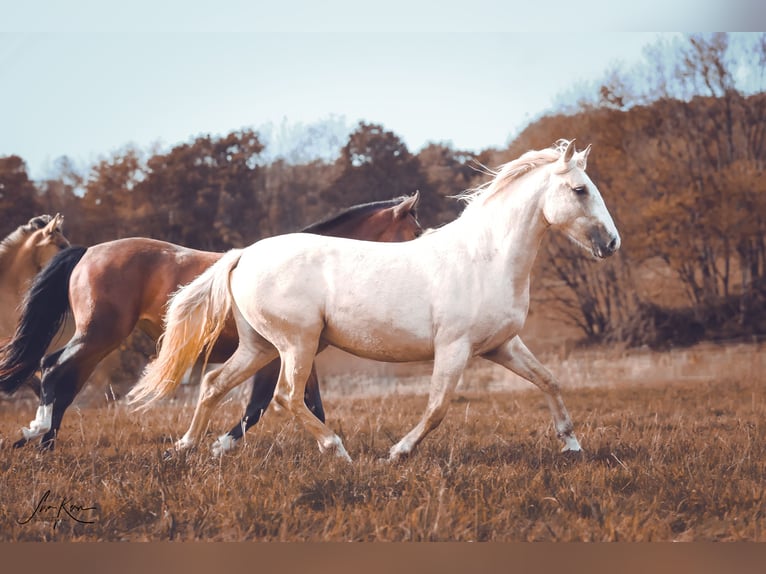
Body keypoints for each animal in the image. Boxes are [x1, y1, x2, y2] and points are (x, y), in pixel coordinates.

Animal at [130, 142, 624, 466]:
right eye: (580, 190)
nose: (612, 243)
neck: (486, 257)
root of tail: (244, 254)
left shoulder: (502, 346)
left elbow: (550, 382)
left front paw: (572, 446)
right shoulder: (455, 348)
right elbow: (438, 407)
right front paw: (397, 453)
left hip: (261, 347)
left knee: (214, 384)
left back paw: (188, 448)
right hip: (296, 344)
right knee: (286, 398)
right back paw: (338, 451)